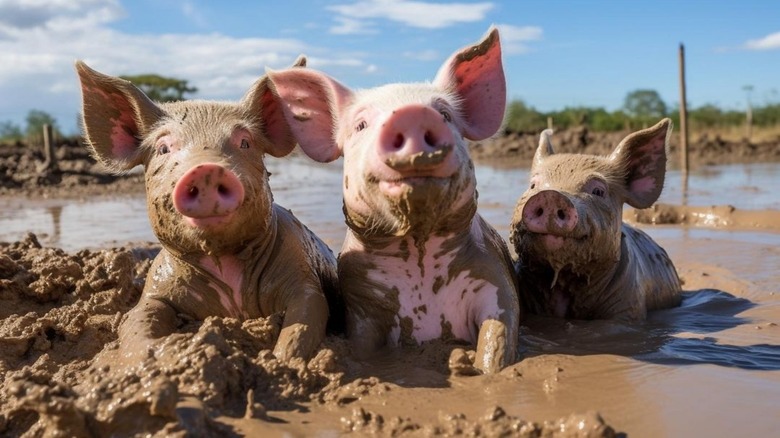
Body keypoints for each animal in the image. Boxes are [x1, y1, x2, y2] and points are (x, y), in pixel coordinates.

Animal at [76, 60, 342, 364]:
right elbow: (136, 319)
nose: (206, 169)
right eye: (163, 148)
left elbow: (307, 312)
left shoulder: (300, 269)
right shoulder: (156, 284)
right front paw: (158, 356)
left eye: (245, 142)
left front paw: (280, 361)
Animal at [266, 26, 516, 372]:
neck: (418, 251)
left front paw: (479, 369)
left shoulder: (493, 279)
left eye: (445, 114)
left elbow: (499, 333)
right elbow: (362, 345)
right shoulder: (361, 302)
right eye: (360, 125)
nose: (411, 114)